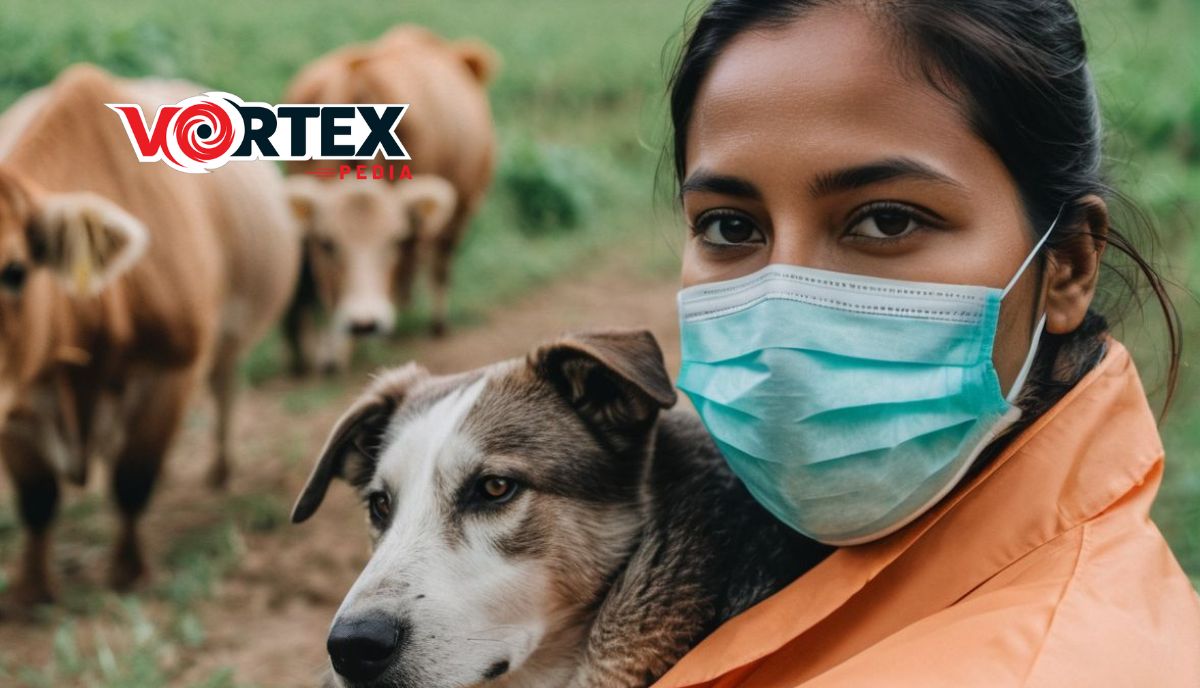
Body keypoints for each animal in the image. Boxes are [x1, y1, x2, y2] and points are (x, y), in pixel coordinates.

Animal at [0, 61, 298, 602]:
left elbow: (133, 477)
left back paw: (221, 470)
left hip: (229, 339)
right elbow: (37, 497)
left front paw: (129, 570)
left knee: (224, 389)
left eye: (14, 271)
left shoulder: (172, 370)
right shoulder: (18, 389)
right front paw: (33, 586)